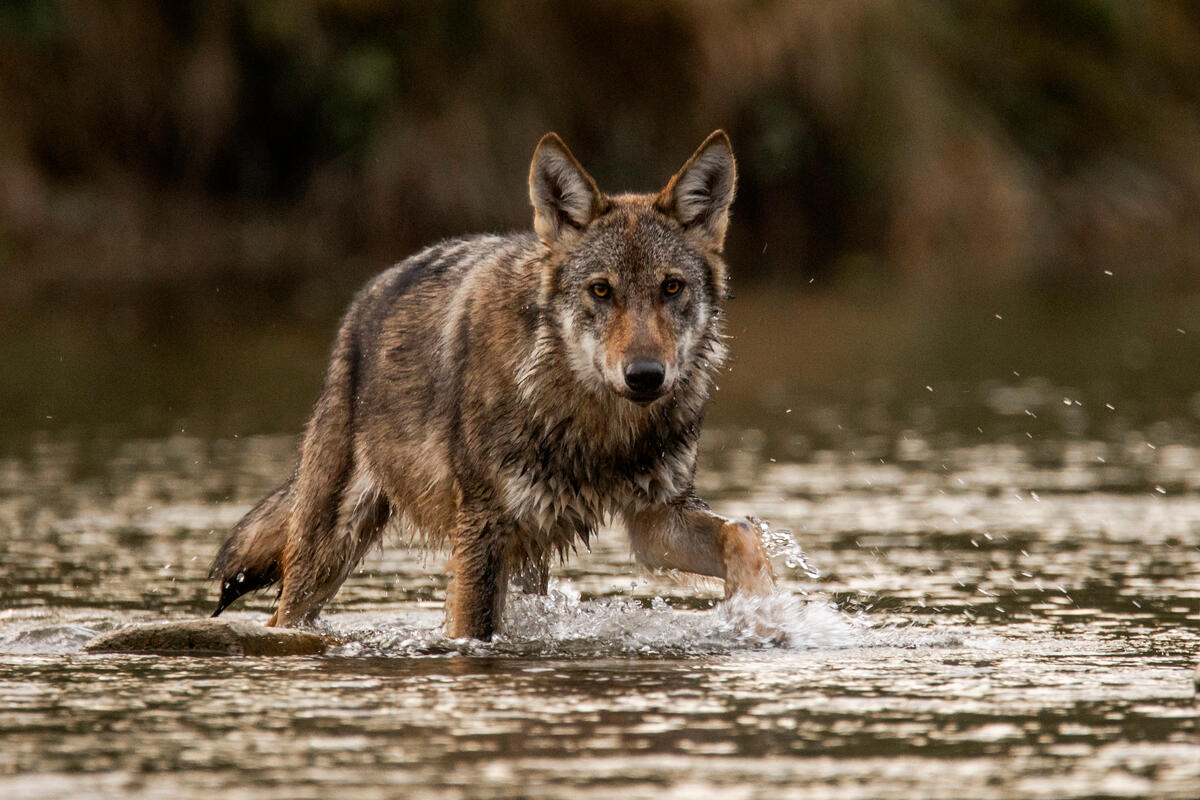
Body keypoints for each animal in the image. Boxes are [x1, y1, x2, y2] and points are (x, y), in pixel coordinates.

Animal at [213, 134, 777, 642]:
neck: (600, 430)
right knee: (283, 617)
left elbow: (744, 532)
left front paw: (760, 614)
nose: (644, 375)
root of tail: (363, 301)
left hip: (527, 551)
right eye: (601, 290)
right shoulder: (481, 532)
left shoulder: (656, 522)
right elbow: (473, 633)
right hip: (330, 553)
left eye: (672, 287)